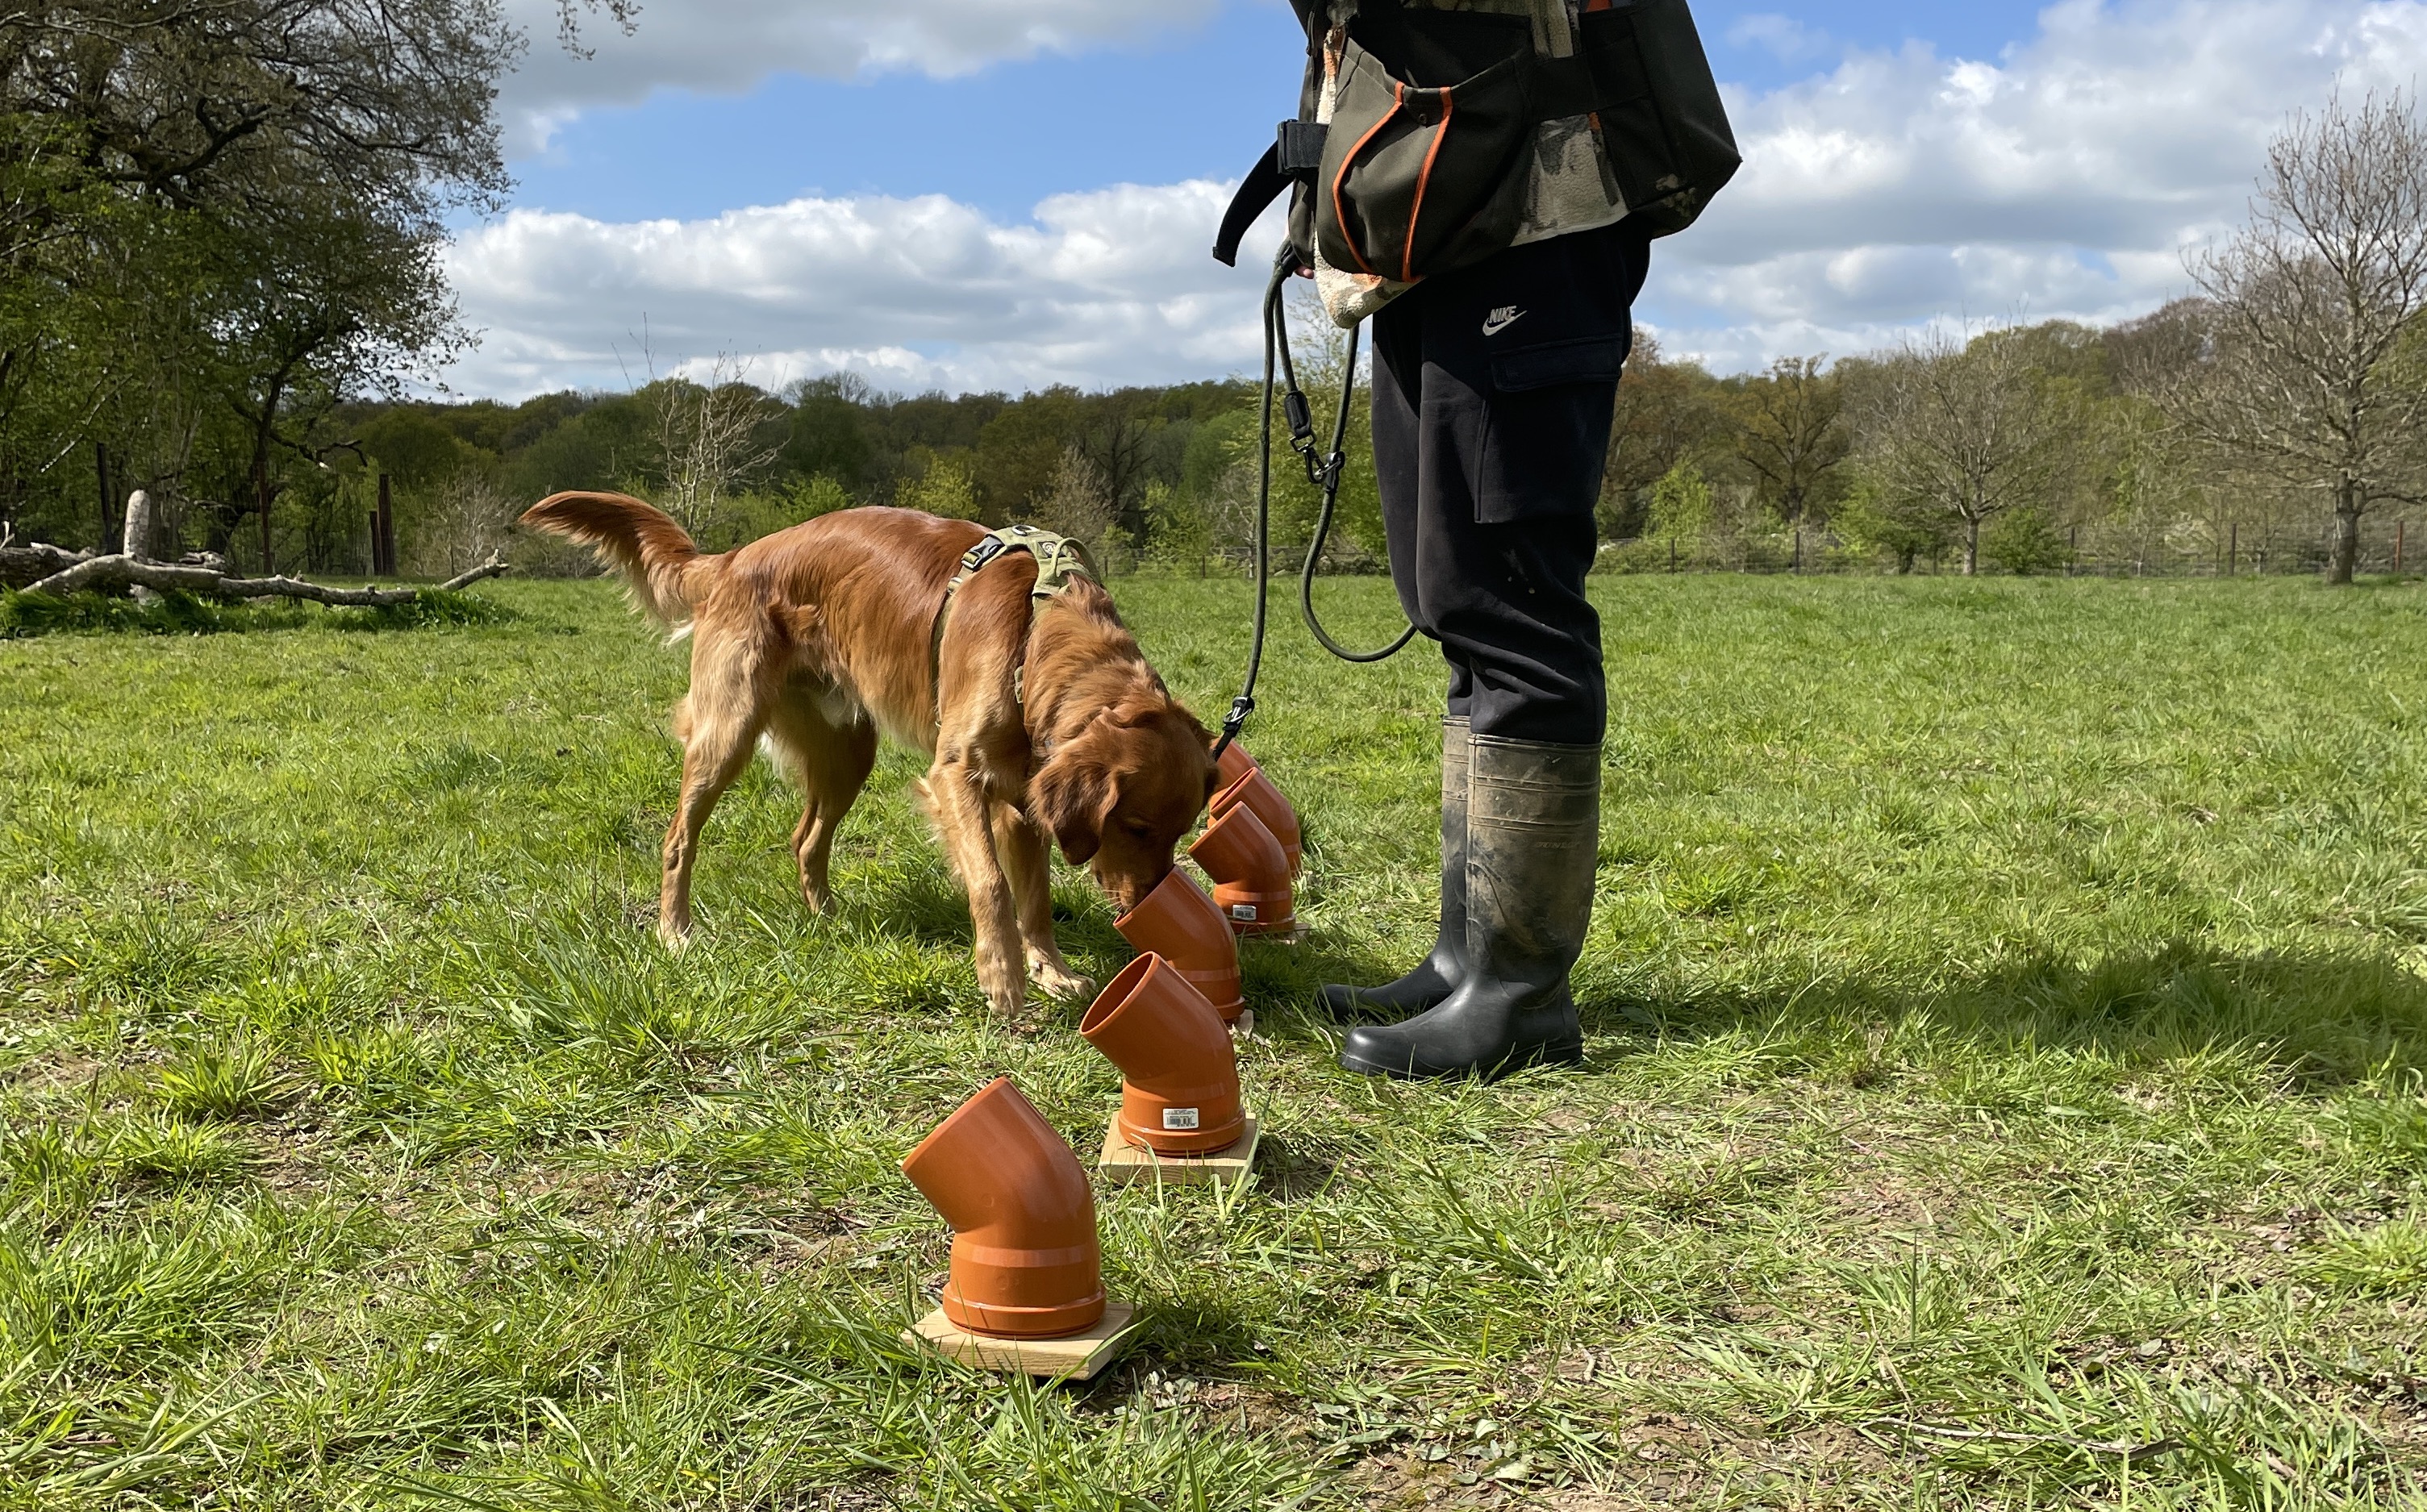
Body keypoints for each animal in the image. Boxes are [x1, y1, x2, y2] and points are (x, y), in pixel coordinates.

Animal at [521, 494, 1223, 1019]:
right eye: (1135, 826)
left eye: (1180, 831)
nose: (1148, 901)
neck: (1037, 634)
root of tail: (735, 558)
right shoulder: (956, 773)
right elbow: (992, 884)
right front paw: (1001, 979)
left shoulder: (1022, 798)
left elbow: (1034, 895)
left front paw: (1051, 971)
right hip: (728, 731)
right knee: (679, 837)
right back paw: (675, 930)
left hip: (849, 750)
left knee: (805, 838)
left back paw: (827, 918)